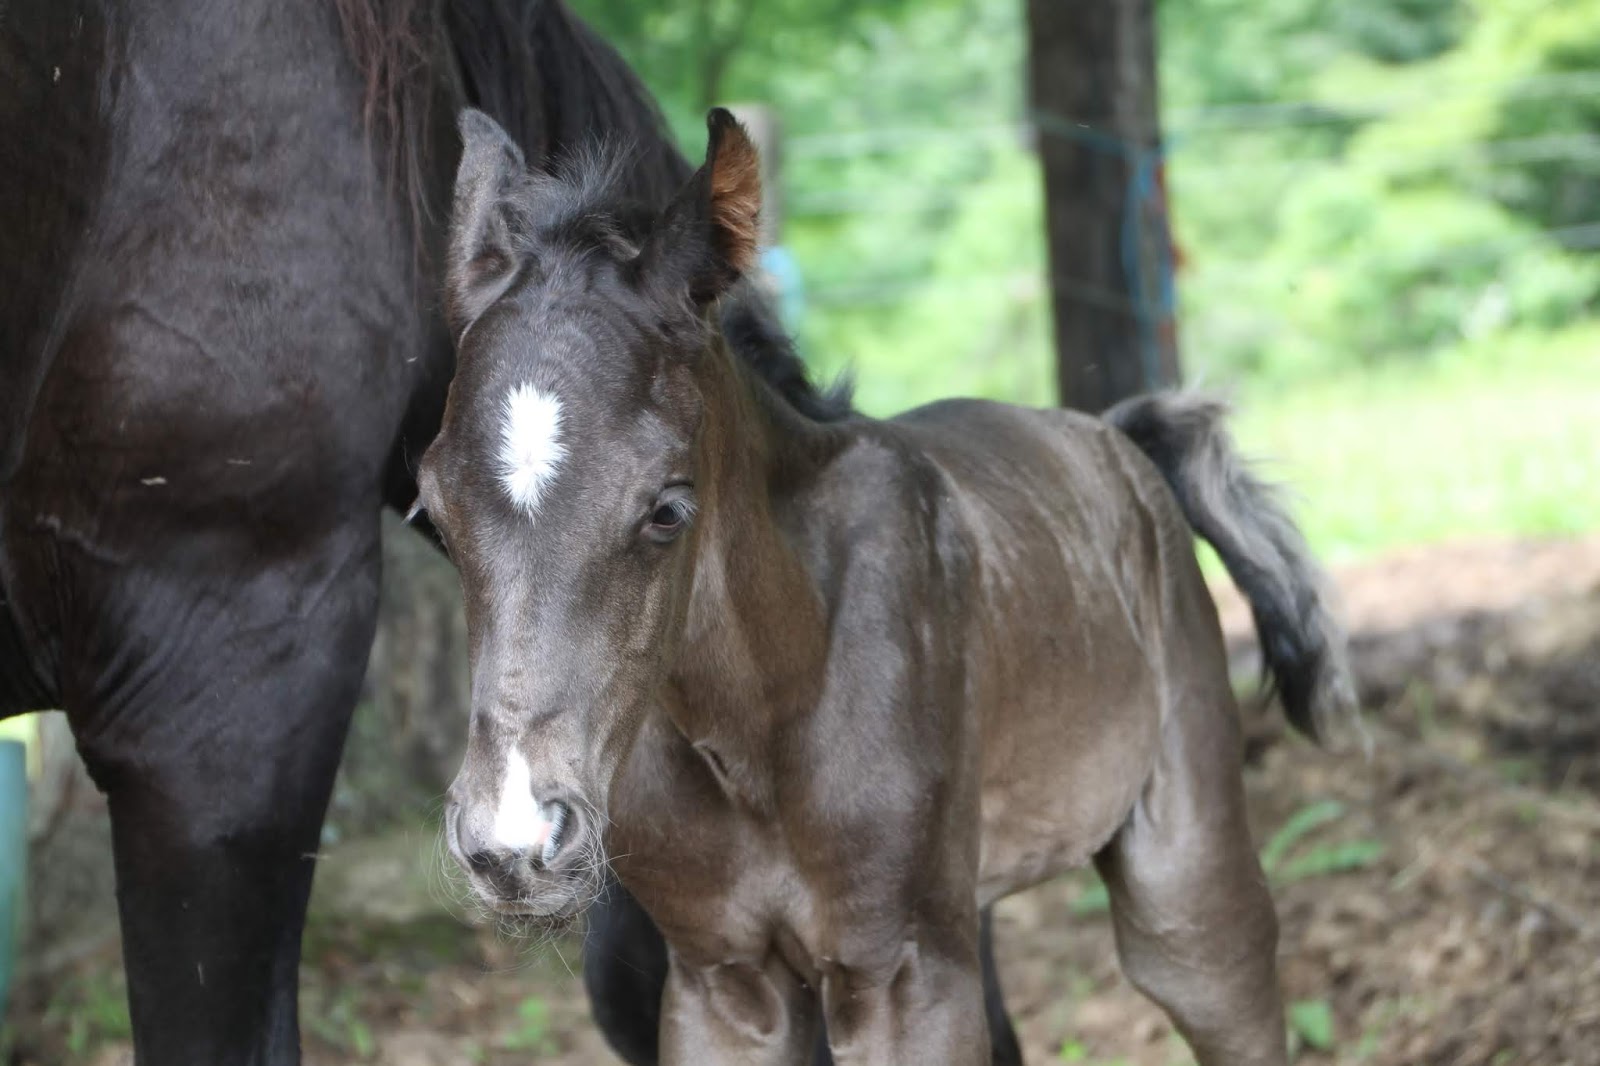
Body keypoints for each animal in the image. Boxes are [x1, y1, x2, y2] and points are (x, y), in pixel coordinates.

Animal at [420, 107, 1359, 1066]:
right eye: (433, 514)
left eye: (667, 510)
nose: (513, 842)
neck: (761, 719)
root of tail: (1117, 436)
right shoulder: (721, 981)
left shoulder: (903, 975)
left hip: (1184, 885)